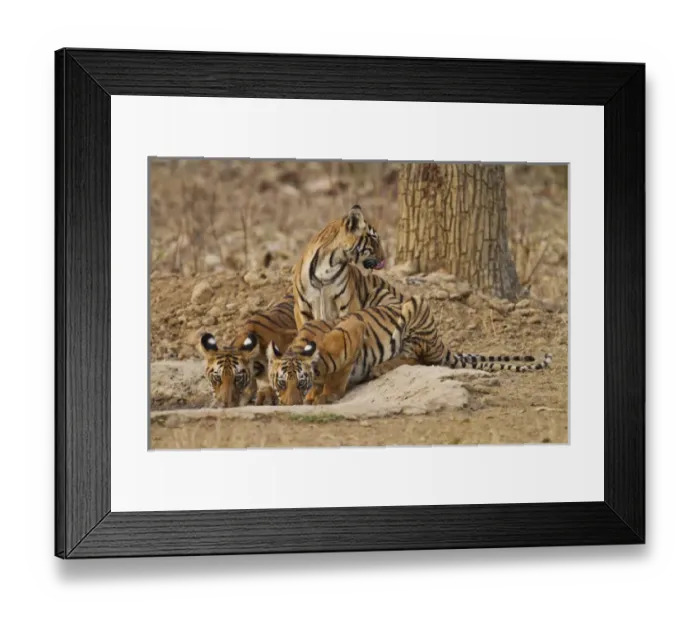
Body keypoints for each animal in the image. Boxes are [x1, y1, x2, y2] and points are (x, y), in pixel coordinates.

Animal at [266, 295, 552, 406]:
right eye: (281, 384)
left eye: (300, 382)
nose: (291, 404)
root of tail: (440, 342)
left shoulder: (353, 329)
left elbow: (340, 374)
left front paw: (326, 395)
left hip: (415, 308)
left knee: (415, 358)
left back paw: (380, 367)